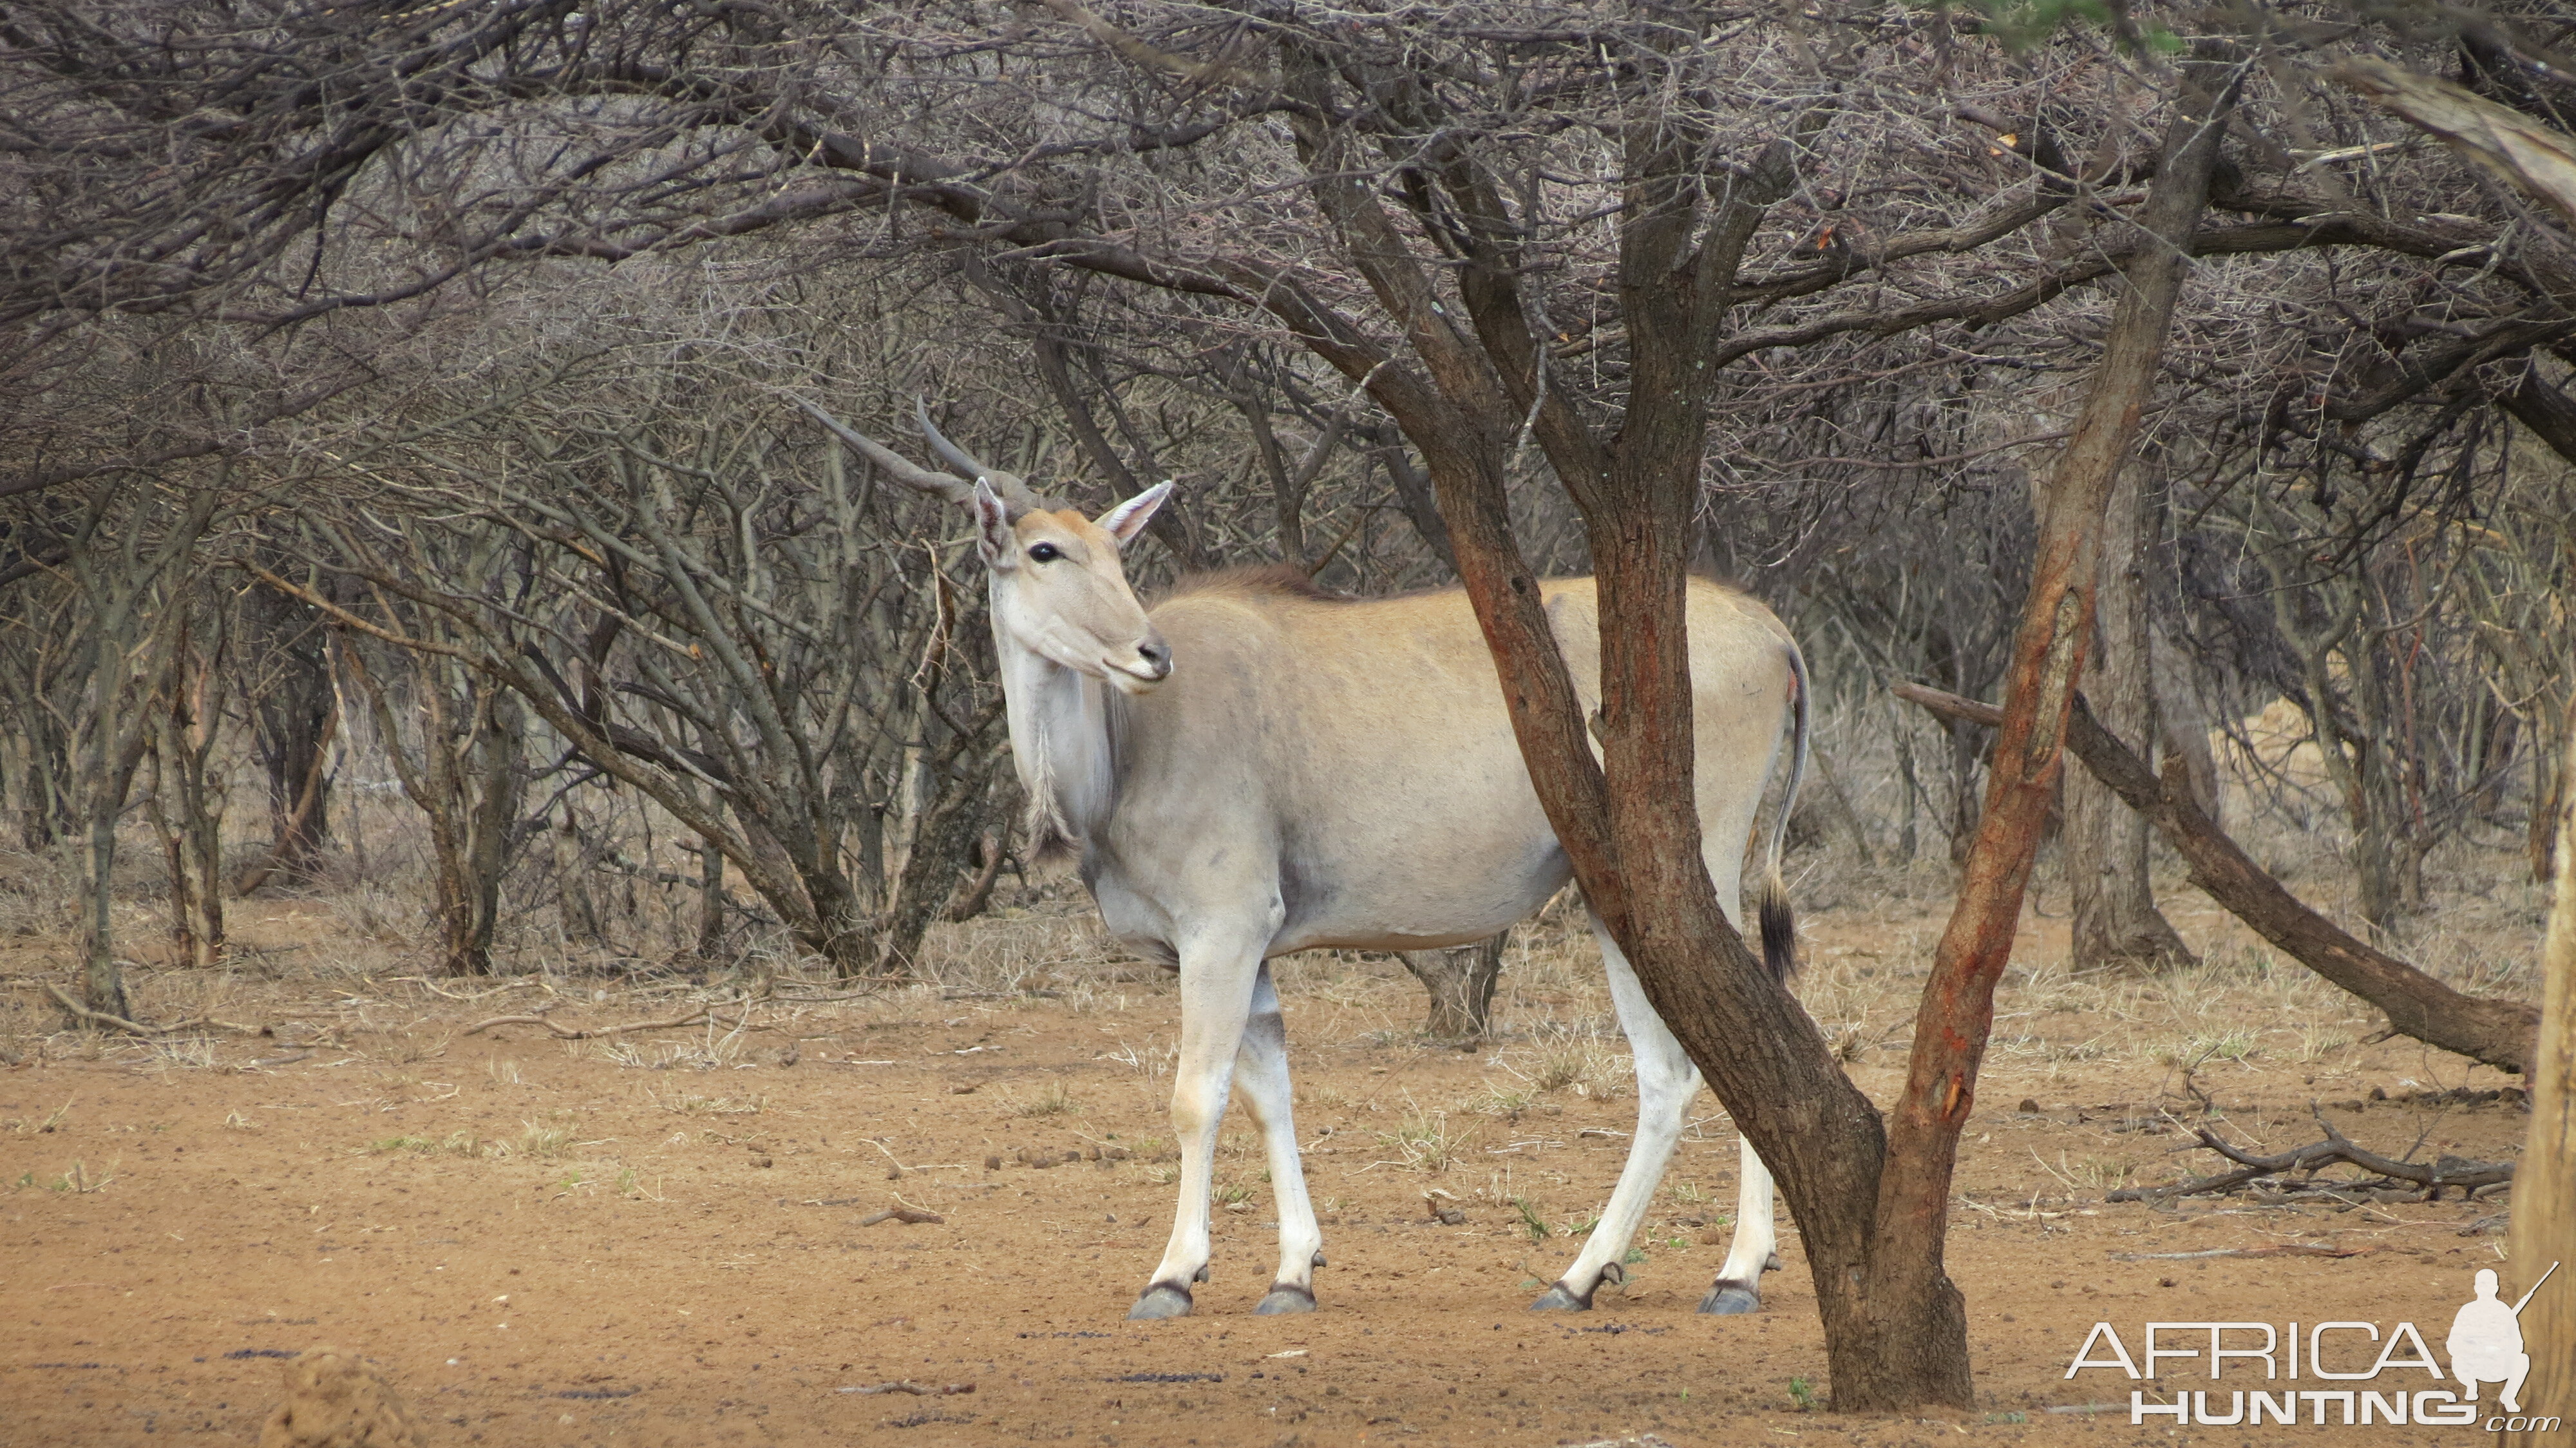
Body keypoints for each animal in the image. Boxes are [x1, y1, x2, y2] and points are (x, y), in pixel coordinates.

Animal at [809, 399, 1814, 1314]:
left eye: (1115, 555)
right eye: (1048, 552)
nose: (1148, 654)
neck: (1126, 749)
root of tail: (1771, 629)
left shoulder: (1223, 930)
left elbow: (1196, 1095)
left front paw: (1172, 1274)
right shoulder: (1239, 951)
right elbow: (1268, 1092)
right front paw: (1291, 1272)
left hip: (1677, 876)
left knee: (1729, 1040)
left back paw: (1717, 1271)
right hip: (1615, 899)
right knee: (1679, 1066)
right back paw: (1596, 1275)